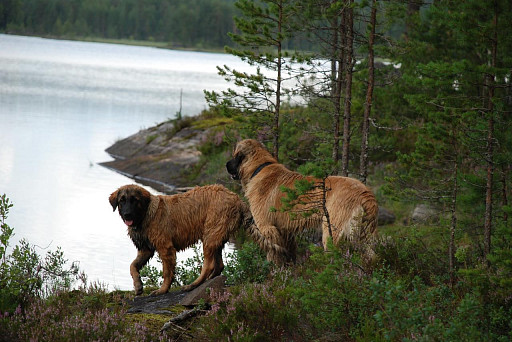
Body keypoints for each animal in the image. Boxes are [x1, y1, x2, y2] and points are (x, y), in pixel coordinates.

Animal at [109, 183, 250, 296]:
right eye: (122, 201)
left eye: (134, 200)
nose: (127, 214)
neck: (145, 214)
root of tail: (237, 199)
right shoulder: (145, 249)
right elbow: (132, 265)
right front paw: (138, 285)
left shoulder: (165, 248)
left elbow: (167, 272)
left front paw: (162, 290)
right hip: (216, 235)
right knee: (219, 264)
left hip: (210, 234)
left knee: (208, 265)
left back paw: (193, 285)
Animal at [226, 139, 378, 264]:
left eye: (234, 155)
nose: (226, 165)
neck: (259, 168)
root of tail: (364, 192)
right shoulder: (284, 230)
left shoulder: (267, 227)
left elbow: (274, 253)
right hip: (364, 235)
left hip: (332, 230)